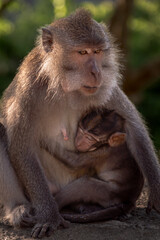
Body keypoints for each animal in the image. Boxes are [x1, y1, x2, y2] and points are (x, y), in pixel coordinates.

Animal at [0, 8, 160, 238]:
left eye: (98, 52)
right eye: (83, 52)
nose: (96, 72)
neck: (64, 84)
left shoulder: (105, 87)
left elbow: (133, 127)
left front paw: (156, 189)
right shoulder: (28, 88)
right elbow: (21, 147)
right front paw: (49, 216)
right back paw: (19, 210)